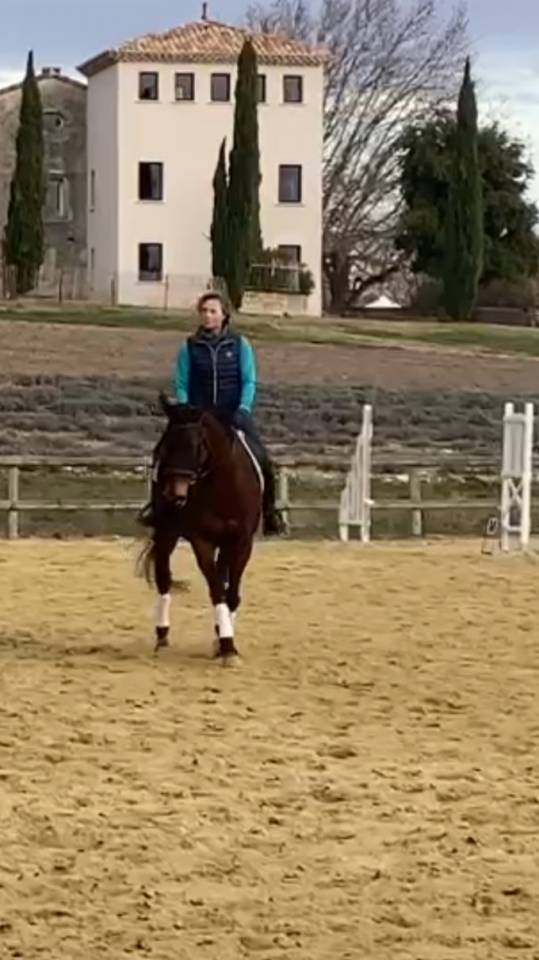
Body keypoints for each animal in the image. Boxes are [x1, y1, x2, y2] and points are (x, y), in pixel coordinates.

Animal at [139, 396, 262, 665]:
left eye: (197, 446)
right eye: (166, 444)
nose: (174, 494)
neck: (223, 487)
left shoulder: (242, 542)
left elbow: (231, 593)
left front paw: (222, 641)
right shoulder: (202, 541)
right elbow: (217, 591)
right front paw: (227, 645)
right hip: (167, 533)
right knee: (164, 578)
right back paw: (162, 636)